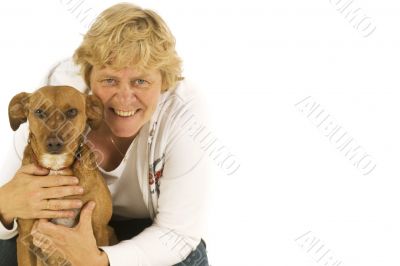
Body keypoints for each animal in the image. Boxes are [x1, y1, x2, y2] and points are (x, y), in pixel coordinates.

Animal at [7, 86, 117, 264]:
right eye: (39, 112)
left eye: (72, 111)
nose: (54, 143)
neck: (56, 167)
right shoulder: (25, 238)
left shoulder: (99, 230)